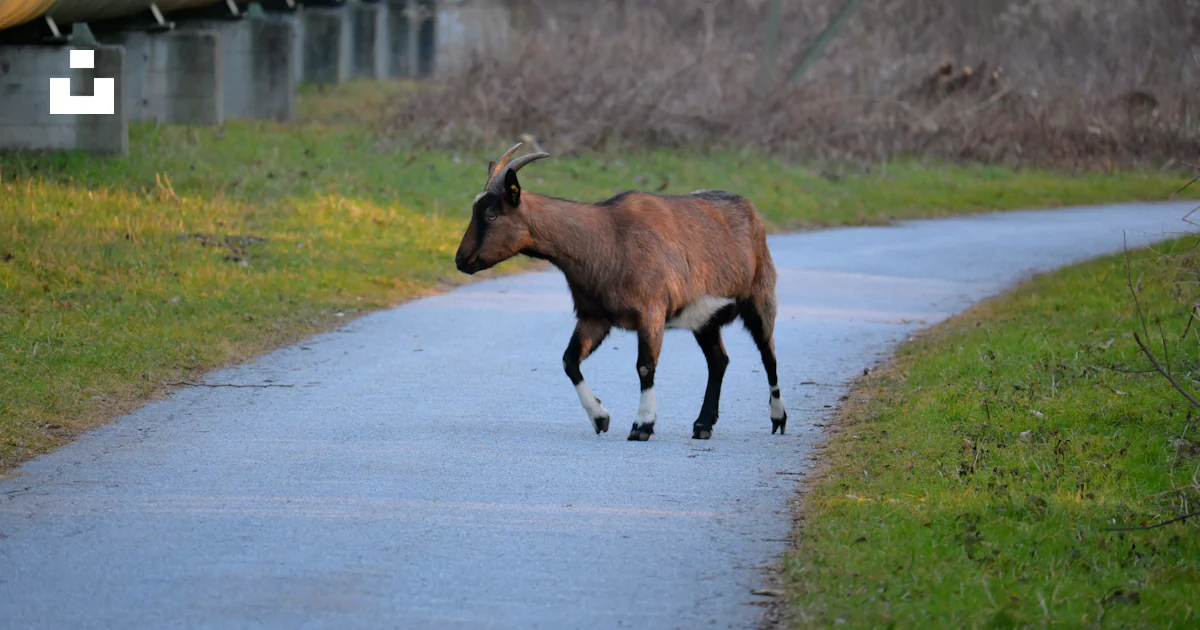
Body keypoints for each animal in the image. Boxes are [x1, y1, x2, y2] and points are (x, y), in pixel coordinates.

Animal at [454, 143, 787, 441]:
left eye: (492, 214)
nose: (460, 260)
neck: (607, 240)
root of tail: (750, 210)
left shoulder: (651, 313)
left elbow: (644, 366)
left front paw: (642, 426)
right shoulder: (595, 317)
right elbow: (569, 360)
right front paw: (600, 417)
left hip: (760, 297)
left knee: (768, 355)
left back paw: (778, 419)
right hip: (704, 318)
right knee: (719, 360)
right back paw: (703, 425)